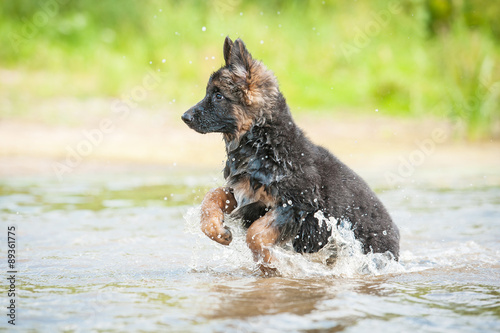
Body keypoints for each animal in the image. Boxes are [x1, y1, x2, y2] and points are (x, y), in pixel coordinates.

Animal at [180, 36, 398, 272]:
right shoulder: (247, 197)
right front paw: (216, 230)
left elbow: (255, 234)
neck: (264, 145)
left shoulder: (298, 206)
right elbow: (212, 196)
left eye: (218, 96)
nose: (184, 117)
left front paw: (271, 262)